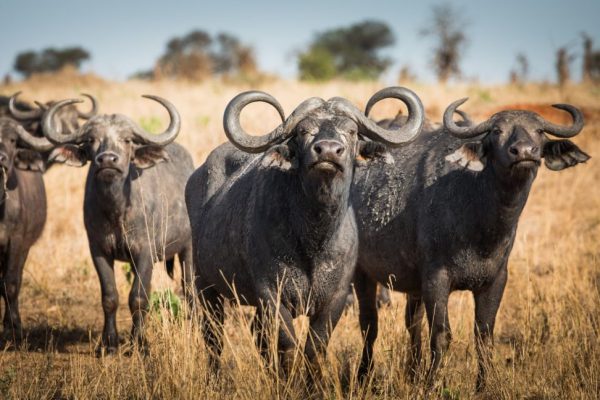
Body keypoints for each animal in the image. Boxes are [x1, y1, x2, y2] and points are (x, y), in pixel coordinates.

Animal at [185, 87, 424, 376]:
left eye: (351, 131)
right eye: (303, 131)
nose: (328, 151)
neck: (314, 239)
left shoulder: (335, 298)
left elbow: (314, 347)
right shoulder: (271, 295)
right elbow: (287, 346)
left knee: (256, 334)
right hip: (205, 284)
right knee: (213, 336)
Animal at [354, 98, 588, 390]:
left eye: (539, 131)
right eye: (497, 131)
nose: (524, 152)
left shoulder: (496, 280)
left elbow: (484, 336)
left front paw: (483, 385)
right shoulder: (436, 279)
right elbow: (441, 335)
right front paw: (432, 384)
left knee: (411, 323)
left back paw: (413, 372)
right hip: (362, 275)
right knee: (369, 325)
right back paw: (364, 376)